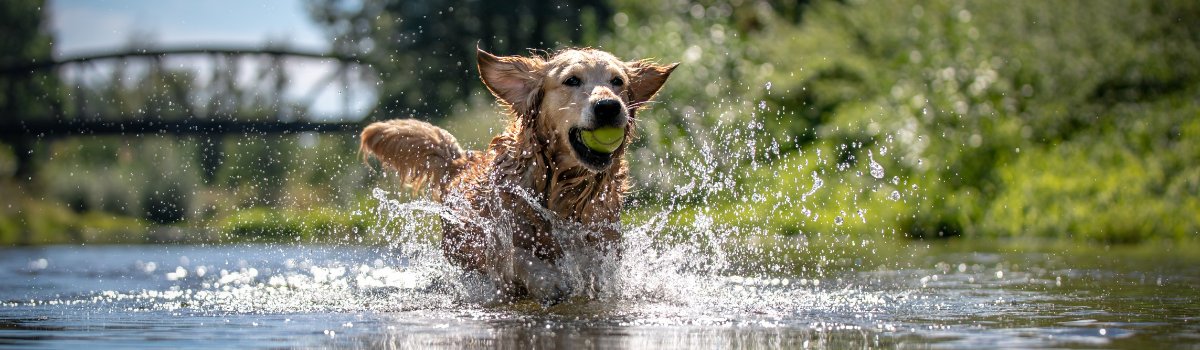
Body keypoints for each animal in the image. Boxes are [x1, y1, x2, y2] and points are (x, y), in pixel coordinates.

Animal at [357, 47, 676, 304]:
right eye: (572, 80)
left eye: (617, 81)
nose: (608, 107)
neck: (559, 188)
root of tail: (461, 161)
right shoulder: (491, 235)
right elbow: (515, 254)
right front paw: (547, 280)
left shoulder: (603, 236)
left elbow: (597, 268)